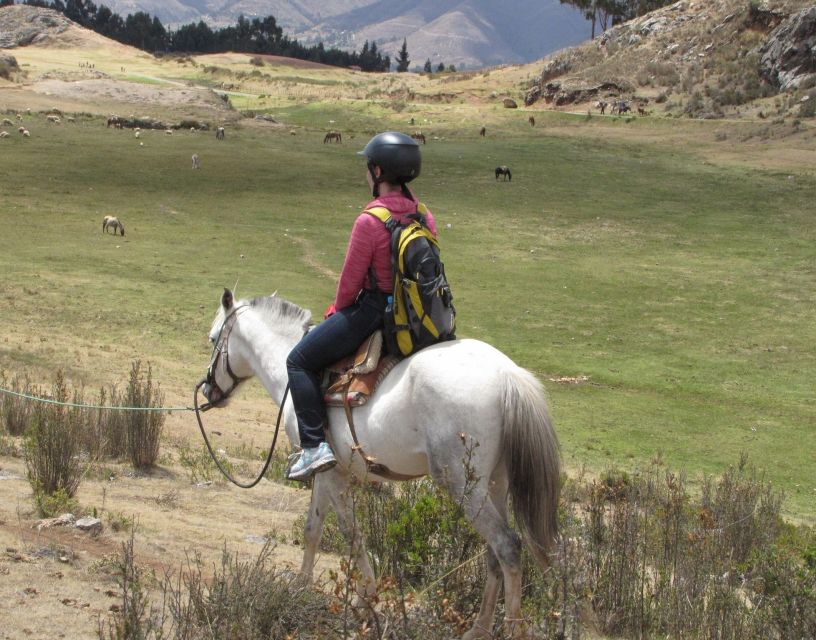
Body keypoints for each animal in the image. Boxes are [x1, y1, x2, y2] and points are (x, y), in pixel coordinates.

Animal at [202, 288, 564, 636]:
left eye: (213, 337)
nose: (207, 391)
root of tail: (507, 375)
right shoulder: (324, 469)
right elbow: (312, 529)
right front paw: (301, 589)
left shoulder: (333, 473)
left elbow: (350, 533)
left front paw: (366, 598)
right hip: (495, 483)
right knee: (494, 553)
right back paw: (479, 628)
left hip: (464, 485)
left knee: (508, 546)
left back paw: (510, 628)